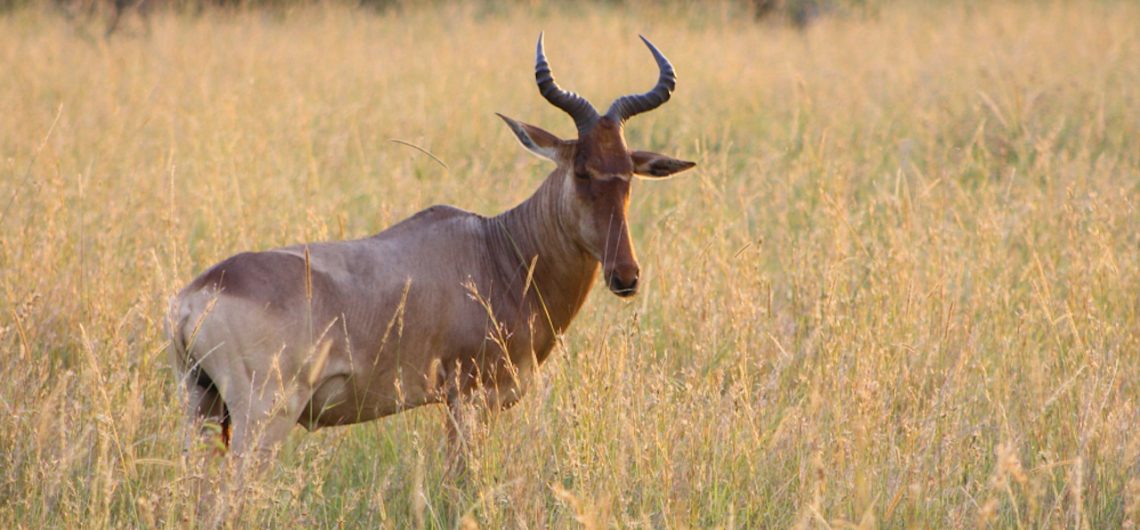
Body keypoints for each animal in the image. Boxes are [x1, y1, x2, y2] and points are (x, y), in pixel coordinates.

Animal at [167, 33, 693, 471]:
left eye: (627, 173)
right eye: (581, 170)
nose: (625, 276)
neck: (499, 250)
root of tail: (193, 298)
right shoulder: (468, 399)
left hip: (202, 407)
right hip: (263, 417)